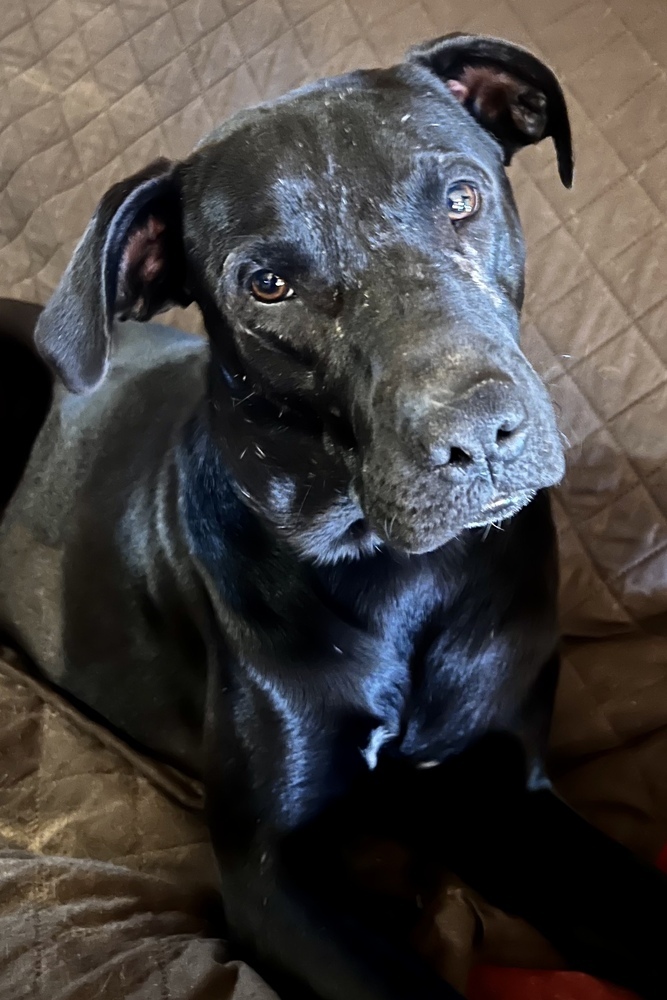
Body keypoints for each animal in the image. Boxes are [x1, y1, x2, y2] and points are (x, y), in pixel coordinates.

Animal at [1, 35, 667, 1000]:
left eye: (461, 197)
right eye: (268, 284)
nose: (477, 435)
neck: (399, 573)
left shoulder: (505, 795)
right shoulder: (271, 878)